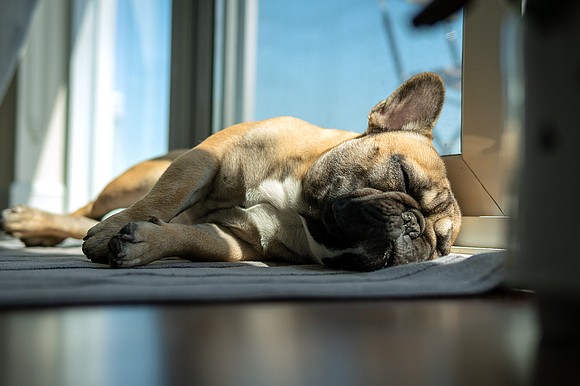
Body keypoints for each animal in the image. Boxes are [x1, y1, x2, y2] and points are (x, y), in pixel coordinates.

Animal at [3, 73, 462, 272]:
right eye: (401, 176)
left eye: (439, 248)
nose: (413, 226)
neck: (298, 201)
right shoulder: (204, 158)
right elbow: (166, 197)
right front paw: (117, 231)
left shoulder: (239, 242)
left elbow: (195, 239)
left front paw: (146, 242)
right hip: (134, 181)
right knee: (92, 208)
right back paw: (36, 220)